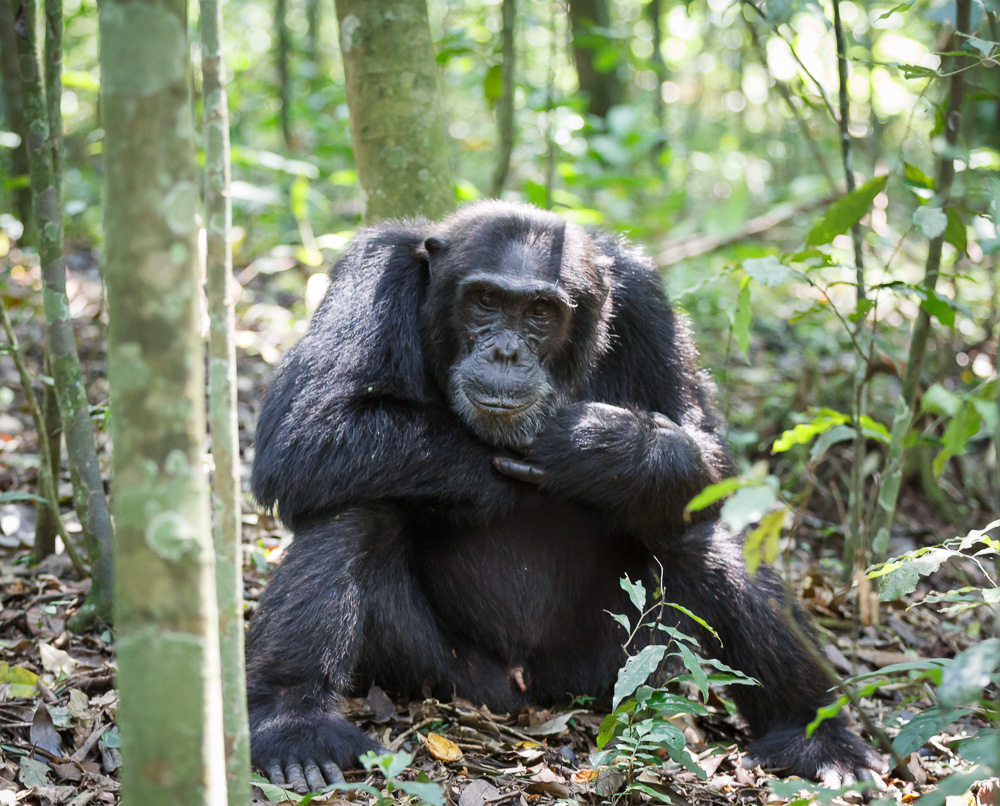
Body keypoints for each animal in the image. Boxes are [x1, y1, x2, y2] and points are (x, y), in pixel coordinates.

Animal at [248, 202, 884, 796]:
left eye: (540, 313)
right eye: (485, 301)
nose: (506, 352)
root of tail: (527, 696)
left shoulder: (647, 302)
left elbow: (708, 452)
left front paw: (593, 447)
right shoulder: (373, 271)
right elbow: (309, 426)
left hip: (618, 667)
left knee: (697, 536)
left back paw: (818, 736)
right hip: (443, 675)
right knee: (356, 507)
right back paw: (295, 726)